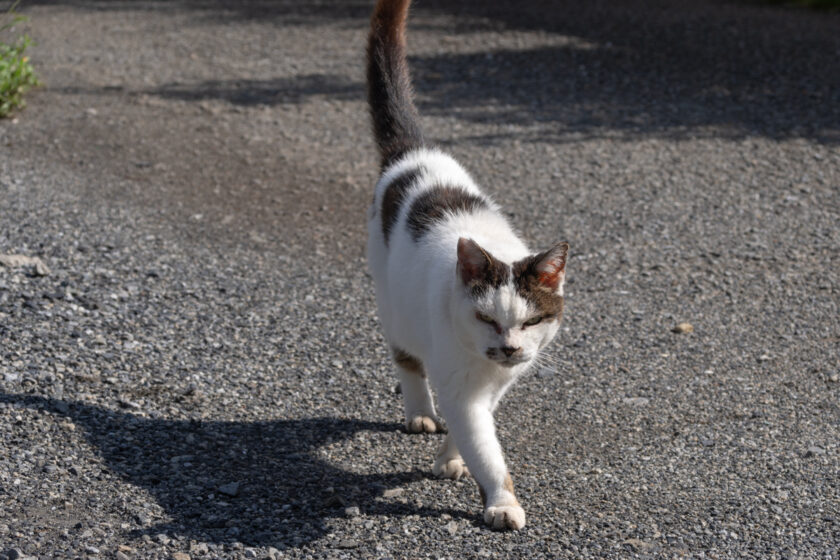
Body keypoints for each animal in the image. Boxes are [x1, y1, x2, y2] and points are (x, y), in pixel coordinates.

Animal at [364, 0, 568, 528]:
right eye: (485, 318)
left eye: (531, 321)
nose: (511, 348)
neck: (483, 363)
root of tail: (415, 152)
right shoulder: (459, 384)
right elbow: (484, 446)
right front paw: (502, 502)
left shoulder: (495, 386)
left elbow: (472, 431)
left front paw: (452, 459)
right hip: (394, 305)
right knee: (407, 359)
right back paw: (419, 412)